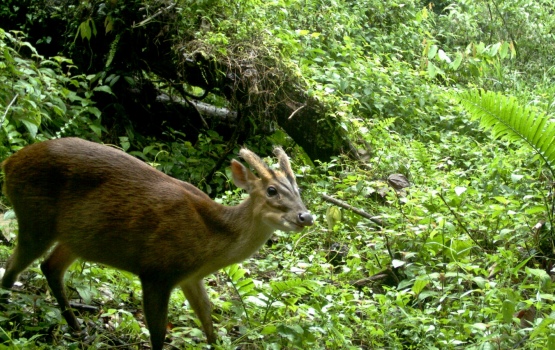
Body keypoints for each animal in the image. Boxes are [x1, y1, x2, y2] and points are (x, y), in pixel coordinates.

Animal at [0, 137, 312, 350]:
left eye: (298, 189)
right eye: (271, 190)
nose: (305, 216)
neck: (210, 238)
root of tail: (9, 162)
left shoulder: (190, 278)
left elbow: (208, 322)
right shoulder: (156, 271)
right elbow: (159, 334)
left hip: (75, 238)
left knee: (49, 267)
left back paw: (78, 330)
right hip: (35, 218)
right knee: (11, 269)